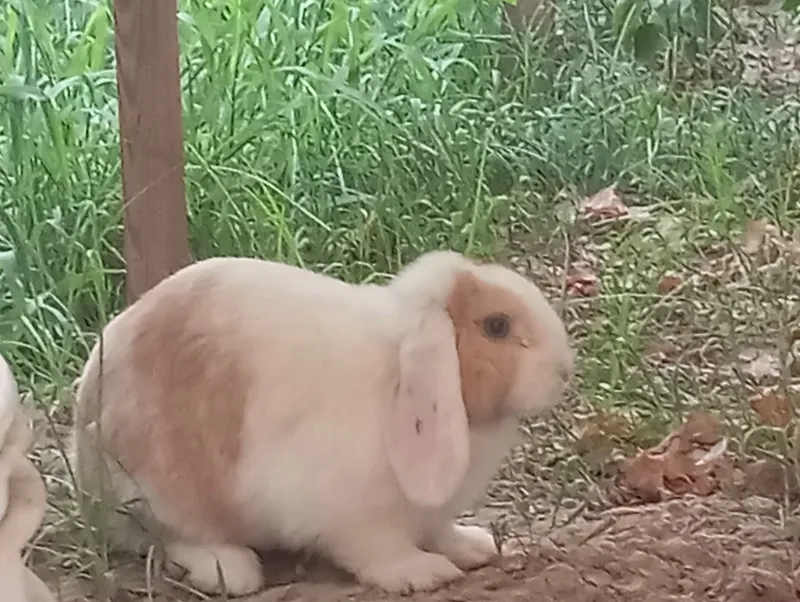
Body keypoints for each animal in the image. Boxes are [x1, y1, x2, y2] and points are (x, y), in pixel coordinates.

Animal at [71, 250, 574, 597]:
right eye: (496, 326)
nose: (565, 370)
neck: (396, 375)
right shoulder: (356, 514)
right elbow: (379, 551)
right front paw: (421, 573)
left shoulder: (430, 512)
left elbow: (440, 531)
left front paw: (473, 546)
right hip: (161, 489)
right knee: (172, 537)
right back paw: (232, 571)